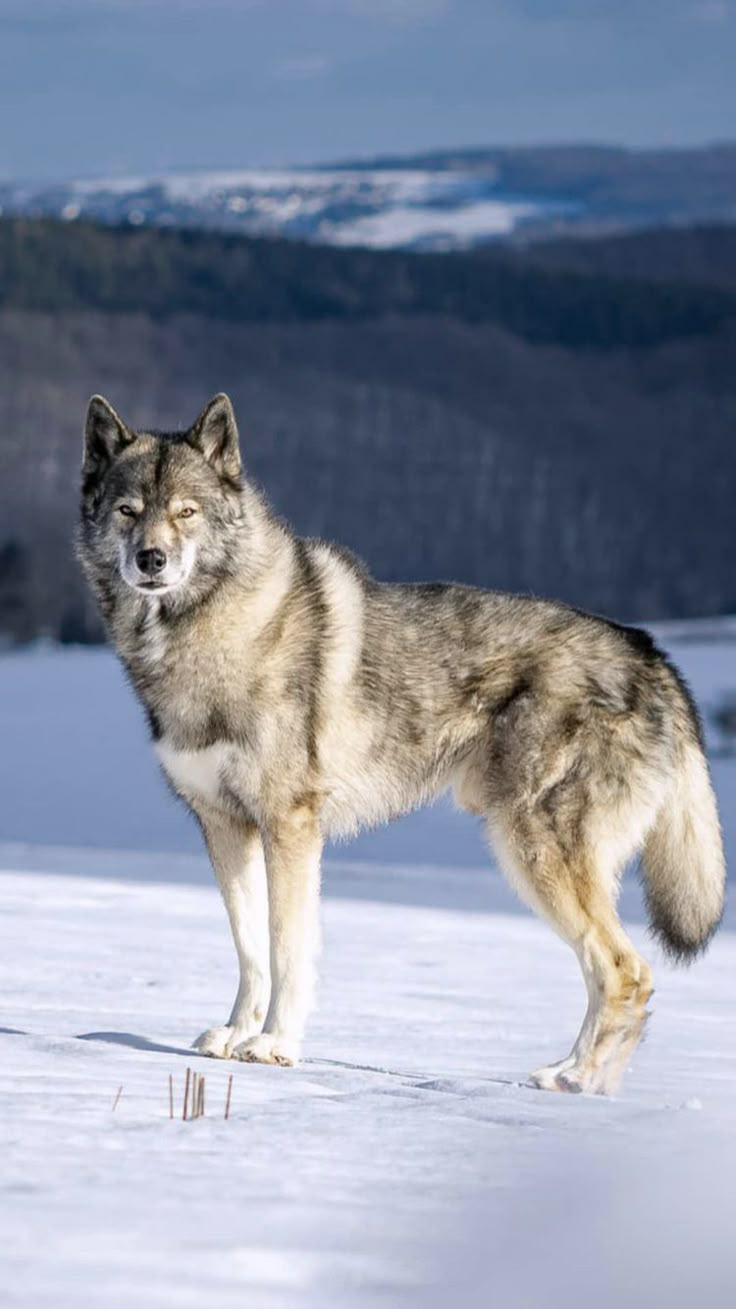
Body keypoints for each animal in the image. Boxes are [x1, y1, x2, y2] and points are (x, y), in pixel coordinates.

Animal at [78, 387, 722, 1094]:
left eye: (185, 512)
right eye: (129, 511)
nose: (151, 560)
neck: (210, 631)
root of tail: (652, 653)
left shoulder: (289, 825)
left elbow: (286, 946)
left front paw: (275, 1045)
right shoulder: (224, 826)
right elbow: (249, 947)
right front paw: (236, 1034)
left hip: (532, 853)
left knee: (626, 971)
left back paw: (574, 1081)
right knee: (615, 974)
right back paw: (580, 1081)